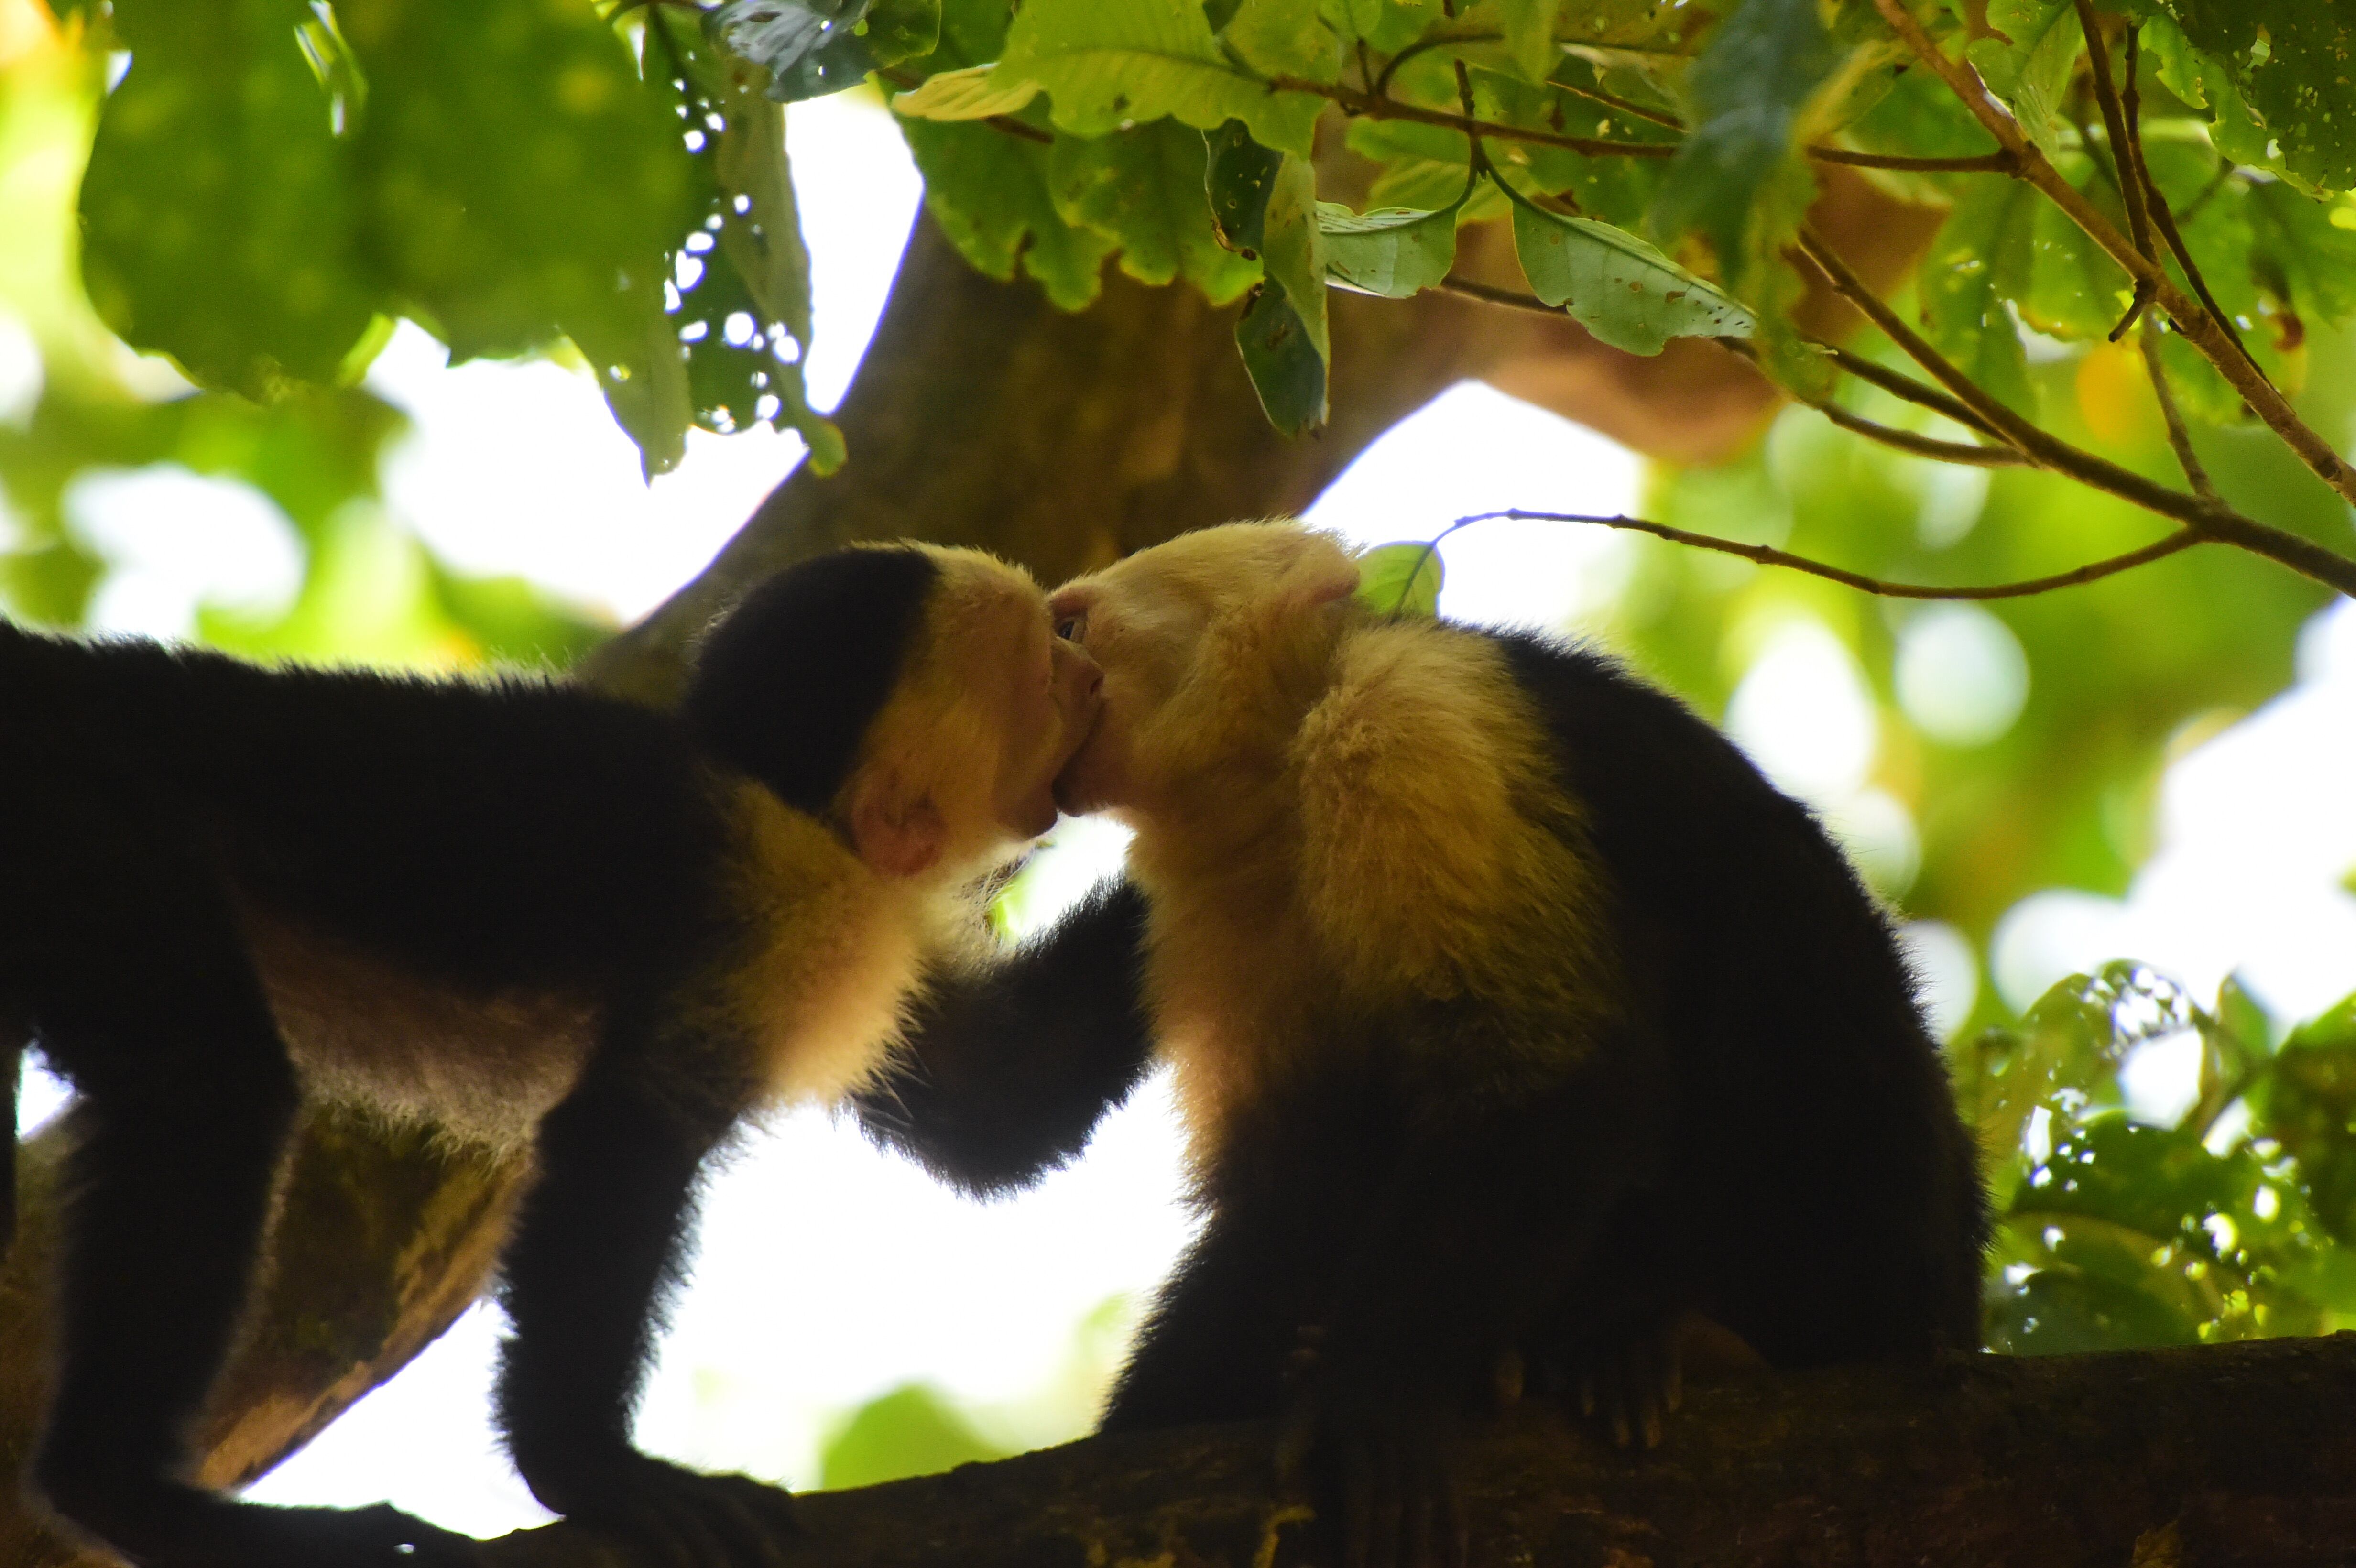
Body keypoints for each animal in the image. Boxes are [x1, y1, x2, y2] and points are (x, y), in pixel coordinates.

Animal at [0, 540, 1103, 1568]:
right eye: (1043, 671)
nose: (1090, 676)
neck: (800, 807)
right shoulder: (785, 908)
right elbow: (625, 1138)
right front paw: (588, 1472)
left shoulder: (872, 934)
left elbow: (1003, 1105)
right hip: (85, 825)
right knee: (212, 1079)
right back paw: (127, 1494)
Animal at [856, 521, 1989, 1568]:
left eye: (1071, 629)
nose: (1051, 695)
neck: (1281, 771)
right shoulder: (1215, 887)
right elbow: (1287, 1190)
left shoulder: (1407, 718)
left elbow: (1551, 1077)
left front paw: (1374, 1393)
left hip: (1868, 1234)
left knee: (1748, 929)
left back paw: (1676, 1334)